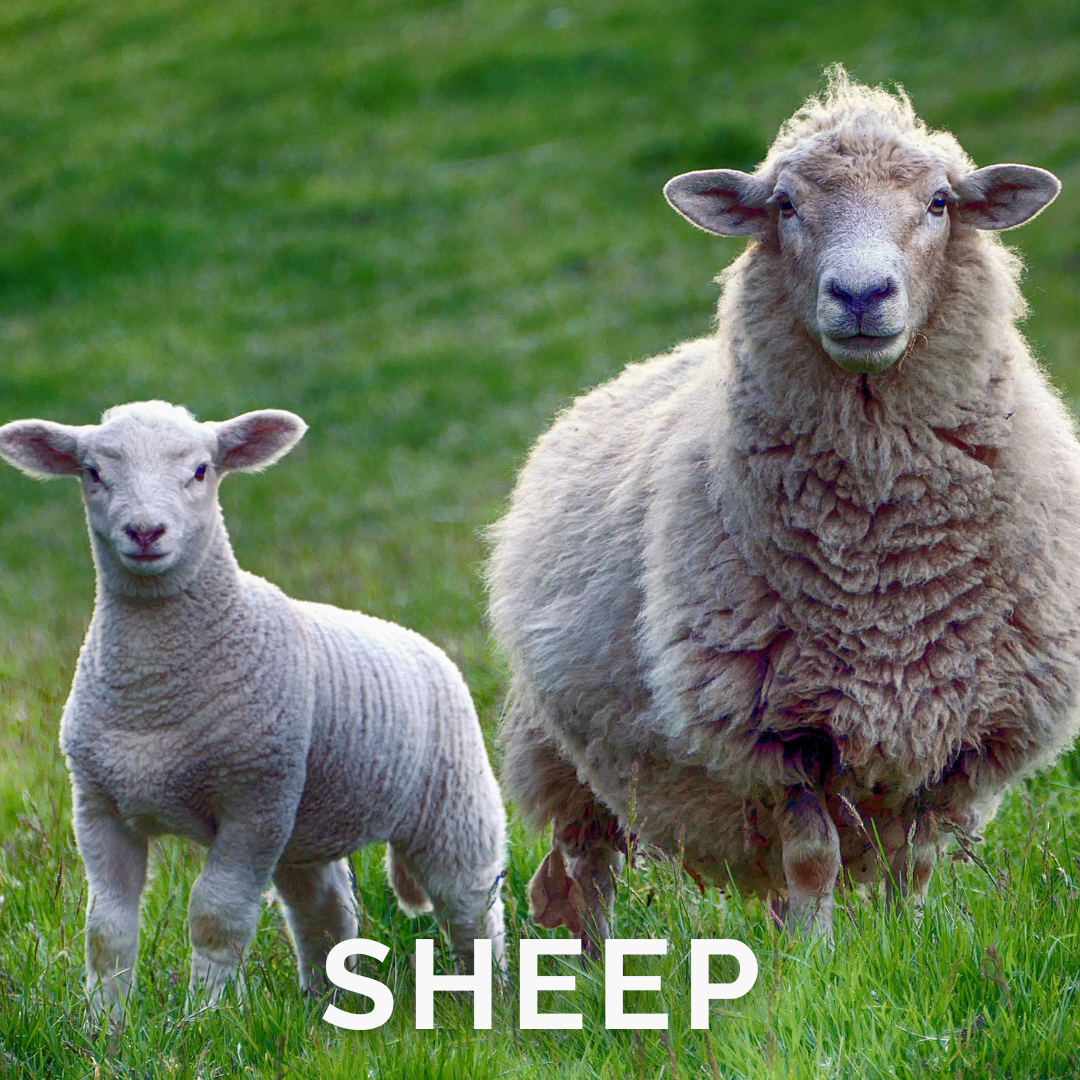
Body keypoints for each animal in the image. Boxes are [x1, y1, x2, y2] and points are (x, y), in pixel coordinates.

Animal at [0, 400, 506, 1020]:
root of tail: (422, 644)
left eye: (200, 471)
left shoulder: (254, 801)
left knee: (471, 906)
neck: (152, 697)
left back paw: (489, 997)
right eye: (92, 473)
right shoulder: (98, 805)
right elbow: (106, 929)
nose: (145, 531)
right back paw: (326, 1002)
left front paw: (204, 1018)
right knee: (325, 913)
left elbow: (216, 916)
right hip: (306, 824)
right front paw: (104, 1023)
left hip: (453, 802)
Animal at [487, 67, 1080, 947]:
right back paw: (590, 965)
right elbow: (813, 856)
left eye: (940, 202)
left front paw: (901, 943)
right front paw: (818, 957)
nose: (862, 294)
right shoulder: (774, 732)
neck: (883, 567)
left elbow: (914, 862)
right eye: (786, 205)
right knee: (576, 874)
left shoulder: (961, 729)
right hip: (561, 753)